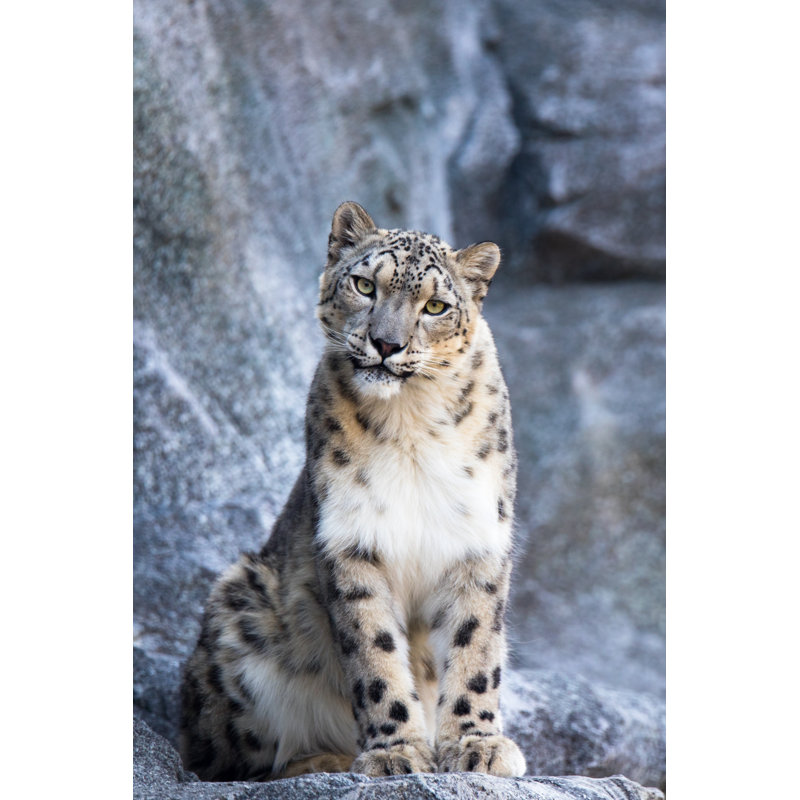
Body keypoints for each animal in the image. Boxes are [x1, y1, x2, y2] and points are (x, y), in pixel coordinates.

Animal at [179, 201, 526, 781]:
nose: (387, 344)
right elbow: (375, 654)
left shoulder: (476, 539)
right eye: (365, 285)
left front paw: (476, 744)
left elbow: (475, 647)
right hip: (240, 606)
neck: (411, 423)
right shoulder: (353, 540)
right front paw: (396, 753)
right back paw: (327, 759)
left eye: (435, 305)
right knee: (229, 761)